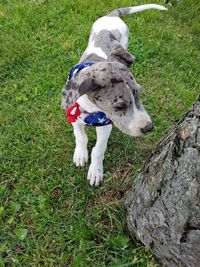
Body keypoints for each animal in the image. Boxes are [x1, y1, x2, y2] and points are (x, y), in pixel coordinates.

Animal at [61, 3, 167, 187]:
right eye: (119, 106)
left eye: (139, 93)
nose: (148, 128)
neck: (91, 109)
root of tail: (112, 15)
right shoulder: (74, 116)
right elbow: (80, 137)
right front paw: (80, 154)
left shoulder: (106, 125)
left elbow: (98, 150)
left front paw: (95, 171)